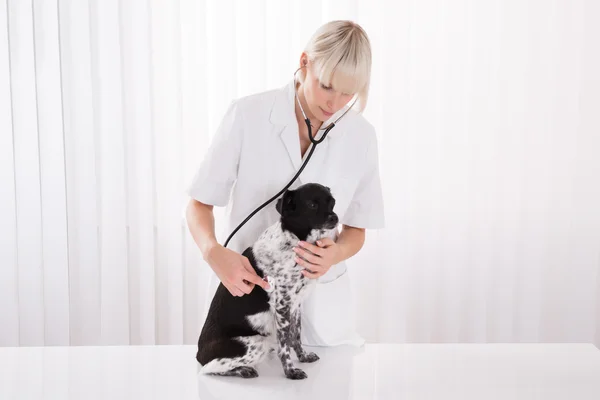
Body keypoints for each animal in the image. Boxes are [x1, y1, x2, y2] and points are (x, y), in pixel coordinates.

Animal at [196, 183, 338, 380]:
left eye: (332, 202)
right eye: (312, 205)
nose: (335, 218)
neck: (294, 241)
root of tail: (199, 353)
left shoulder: (295, 305)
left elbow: (296, 336)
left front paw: (303, 356)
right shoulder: (282, 305)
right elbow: (284, 345)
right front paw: (290, 371)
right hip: (257, 342)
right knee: (208, 369)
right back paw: (243, 370)